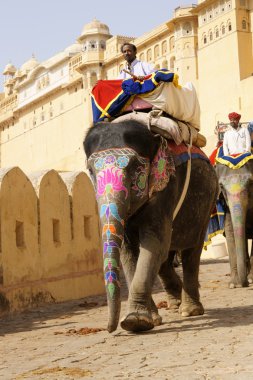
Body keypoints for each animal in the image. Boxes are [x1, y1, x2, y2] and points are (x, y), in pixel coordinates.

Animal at [84, 119, 218, 332]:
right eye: (90, 171)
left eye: (135, 167)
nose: (109, 329)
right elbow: (129, 252)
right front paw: (148, 320)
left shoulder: (167, 188)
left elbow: (153, 244)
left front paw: (135, 322)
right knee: (166, 256)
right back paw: (175, 303)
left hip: (208, 202)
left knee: (191, 250)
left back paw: (190, 310)